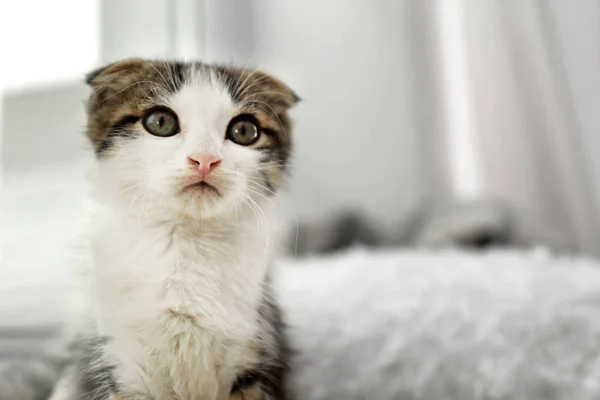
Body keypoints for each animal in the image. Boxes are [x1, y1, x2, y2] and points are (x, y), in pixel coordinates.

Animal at [1, 58, 298, 400]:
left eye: (244, 131)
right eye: (160, 122)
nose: (205, 159)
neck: (185, 241)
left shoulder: (255, 348)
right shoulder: (118, 356)